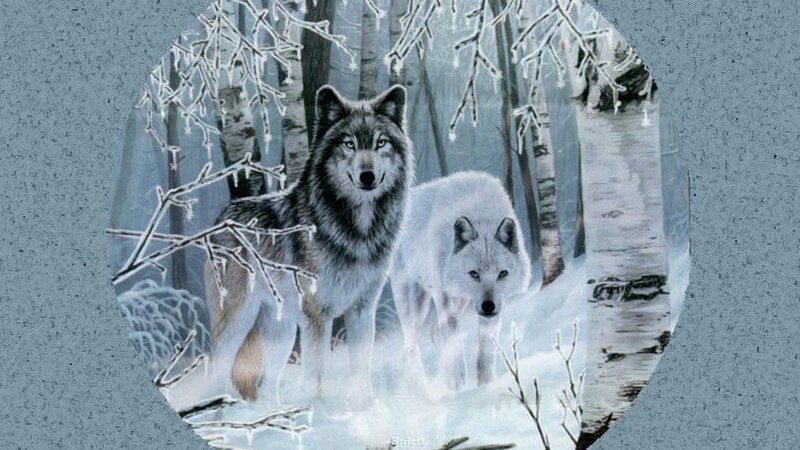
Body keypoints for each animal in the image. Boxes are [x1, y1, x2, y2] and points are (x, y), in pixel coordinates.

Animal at [205, 84, 413, 408]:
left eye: (381, 143)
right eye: (349, 144)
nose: (367, 176)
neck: (358, 231)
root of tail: (222, 218)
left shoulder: (363, 308)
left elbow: (360, 365)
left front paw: (362, 407)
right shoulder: (317, 315)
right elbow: (316, 371)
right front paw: (318, 409)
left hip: (281, 332)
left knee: (267, 384)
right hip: (237, 321)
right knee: (218, 370)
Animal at [391, 171, 531, 389]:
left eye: (502, 274)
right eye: (474, 274)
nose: (488, 306)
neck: (480, 215)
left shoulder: (496, 305)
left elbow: (487, 344)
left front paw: (487, 382)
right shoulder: (443, 294)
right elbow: (453, 332)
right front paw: (456, 378)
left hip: (461, 301)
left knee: (434, 331)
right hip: (416, 309)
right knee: (410, 347)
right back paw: (420, 386)